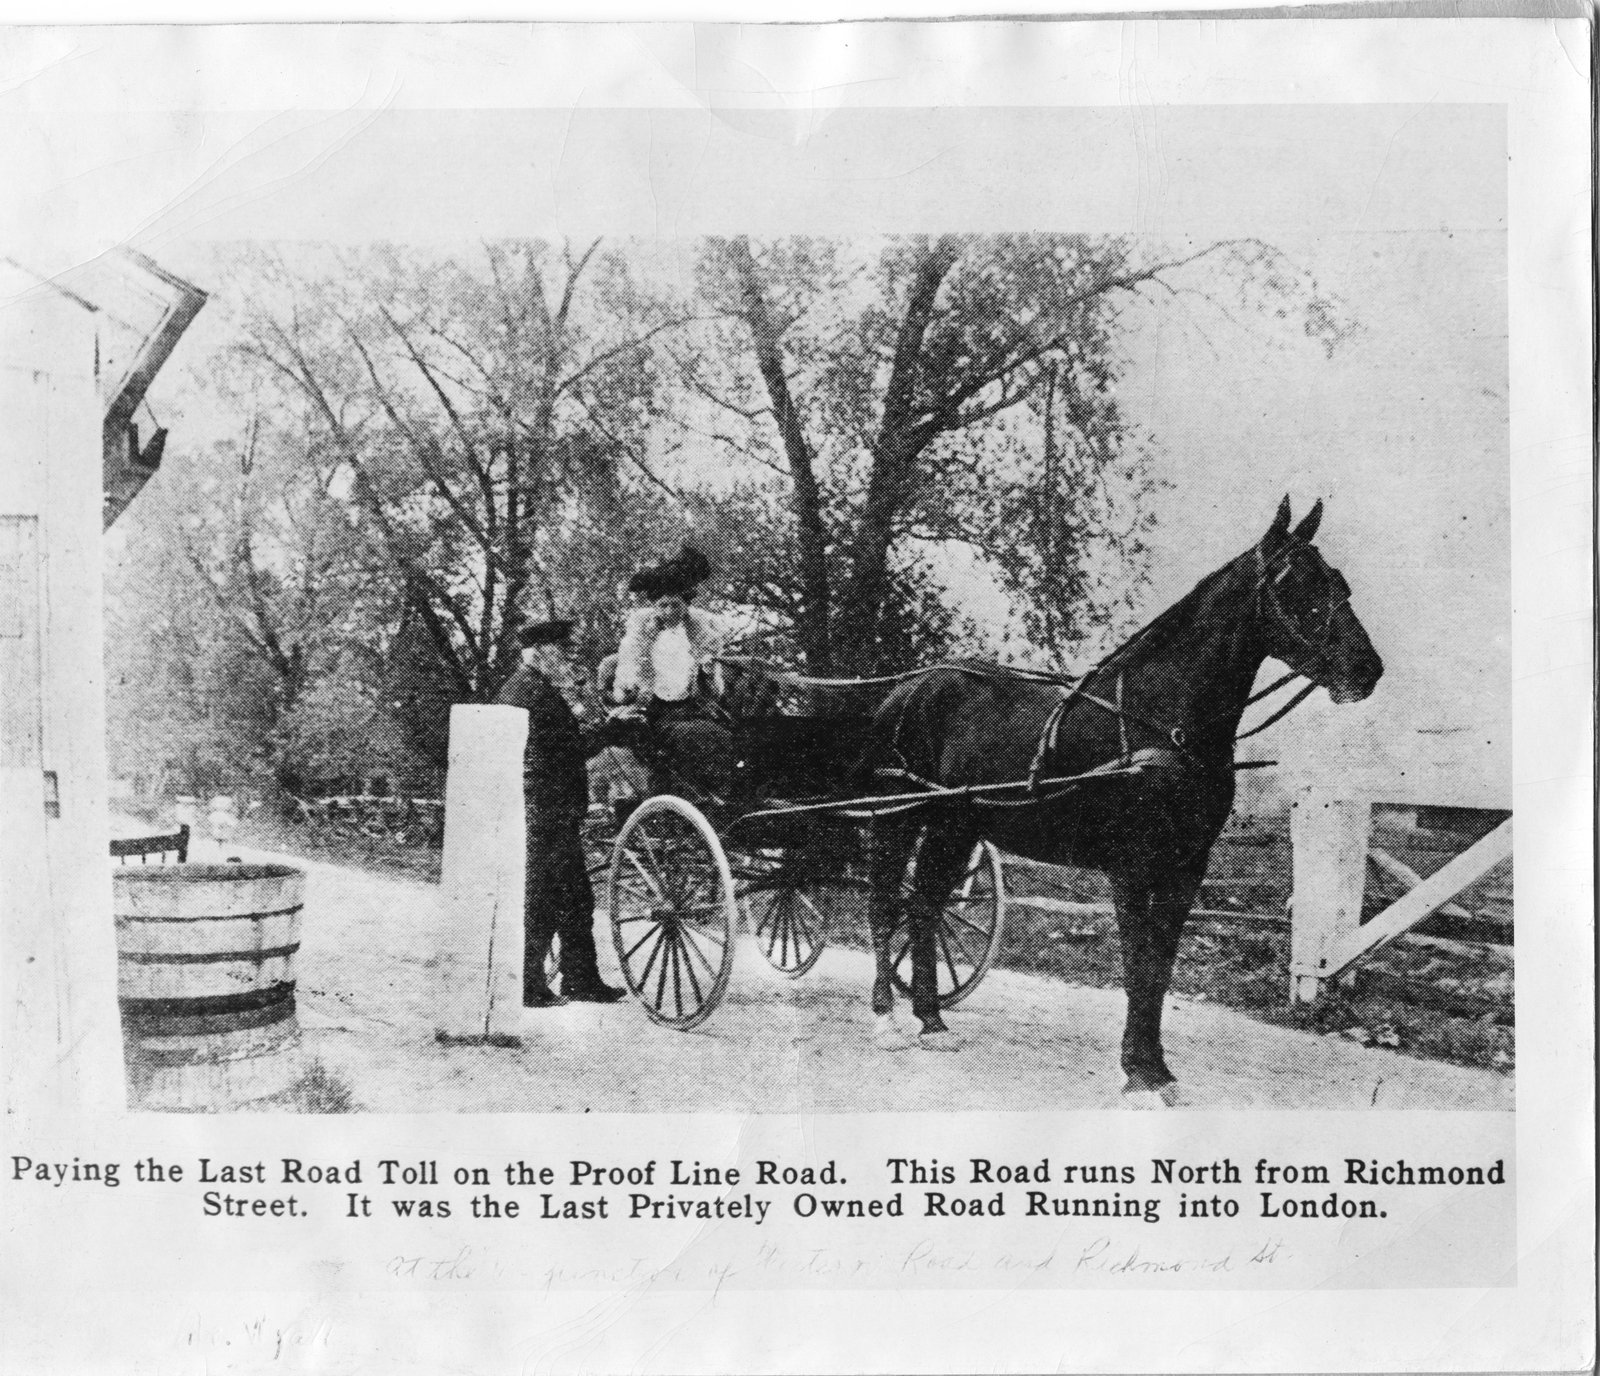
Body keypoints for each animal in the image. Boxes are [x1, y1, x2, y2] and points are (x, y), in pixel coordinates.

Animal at [857, 499, 1382, 1100]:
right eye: (1294, 583)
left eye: (1339, 581)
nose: (1367, 669)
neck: (1164, 722)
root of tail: (906, 689)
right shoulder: (1132, 866)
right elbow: (1137, 966)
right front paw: (1139, 1071)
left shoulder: (1185, 866)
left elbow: (1160, 969)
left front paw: (1158, 1069)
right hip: (898, 819)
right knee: (885, 906)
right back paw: (887, 1019)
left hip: (955, 827)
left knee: (923, 906)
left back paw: (932, 1021)